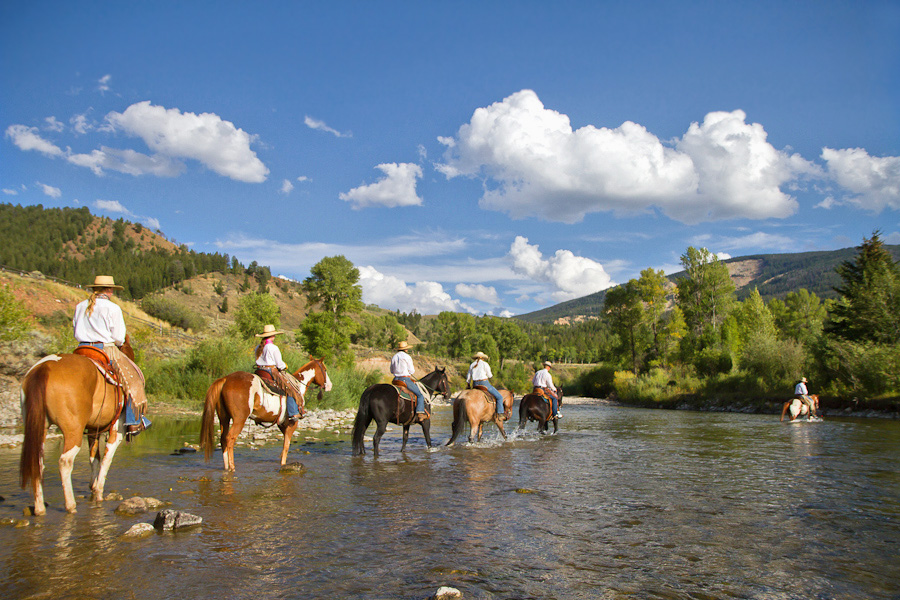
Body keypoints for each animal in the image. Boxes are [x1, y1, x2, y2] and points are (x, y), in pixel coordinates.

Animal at [19, 338, 138, 516]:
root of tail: (44, 367)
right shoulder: (116, 432)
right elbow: (106, 459)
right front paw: (98, 493)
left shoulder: (93, 430)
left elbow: (94, 458)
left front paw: (93, 487)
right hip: (73, 431)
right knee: (65, 462)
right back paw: (71, 505)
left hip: (39, 428)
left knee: (37, 463)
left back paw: (40, 508)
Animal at [200, 358, 334, 472]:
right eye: (325, 369)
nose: (329, 385)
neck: (298, 386)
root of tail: (225, 379)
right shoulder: (292, 423)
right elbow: (286, 445)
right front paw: (283, 464)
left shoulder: (282, 424)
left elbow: (284, 446)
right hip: (239, 419)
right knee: (230, 438)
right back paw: (232, 467)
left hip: (224, 418)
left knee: (223, 439)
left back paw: (226, 466)